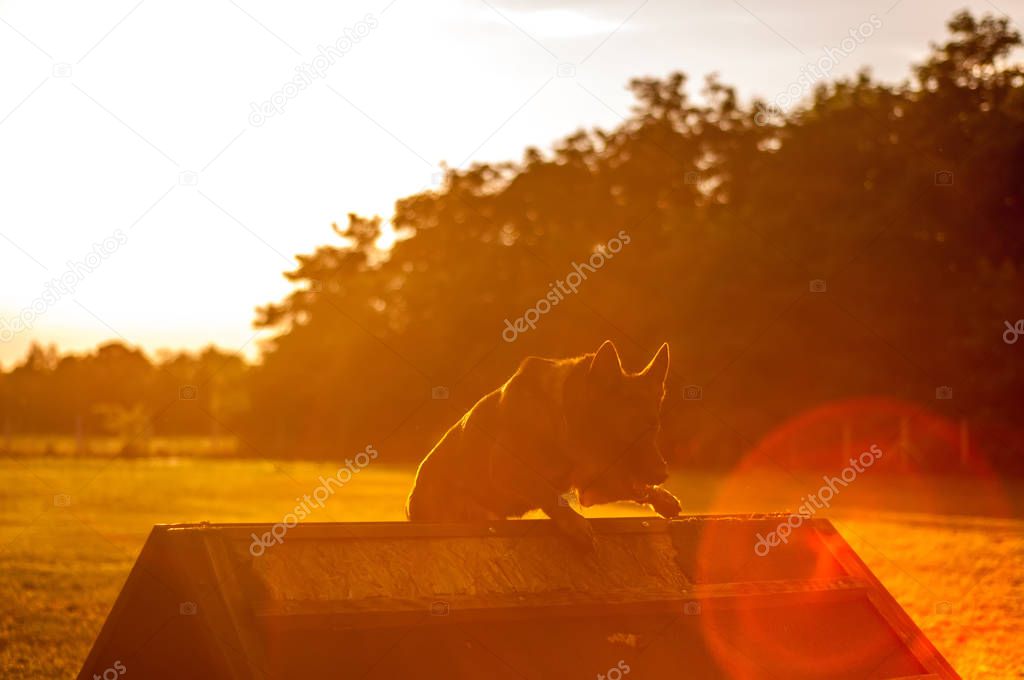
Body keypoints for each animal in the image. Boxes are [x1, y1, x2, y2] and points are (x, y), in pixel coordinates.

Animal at [405, 340, 679, 548]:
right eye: (629, 432)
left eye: (654, 429)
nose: (663, 474)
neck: (563, 419)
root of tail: (411, 507)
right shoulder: (508, 468)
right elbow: (545, 490)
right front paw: (574, 522)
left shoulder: (592, 487)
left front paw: (662, 498)